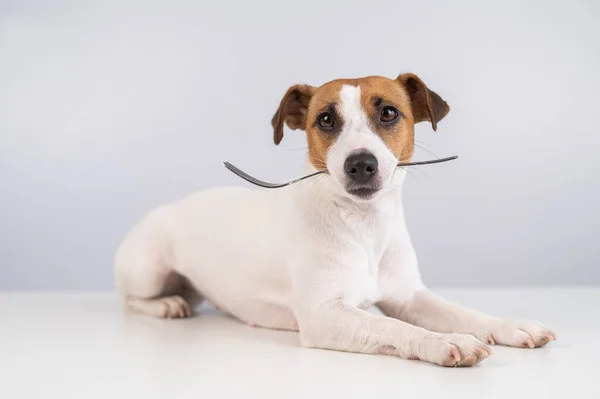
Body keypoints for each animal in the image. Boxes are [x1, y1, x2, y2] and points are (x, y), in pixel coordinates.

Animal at [115, 73, 556, 368]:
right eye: (325, 119)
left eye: (389, 112)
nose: (360, 163)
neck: (363, 225)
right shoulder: (324, 315)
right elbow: (397, 329)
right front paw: (444, 340)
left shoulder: (409, 296)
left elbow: (464, 313)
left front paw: (510, 325)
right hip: (149, 270)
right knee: (132, 298)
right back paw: (166, 304)